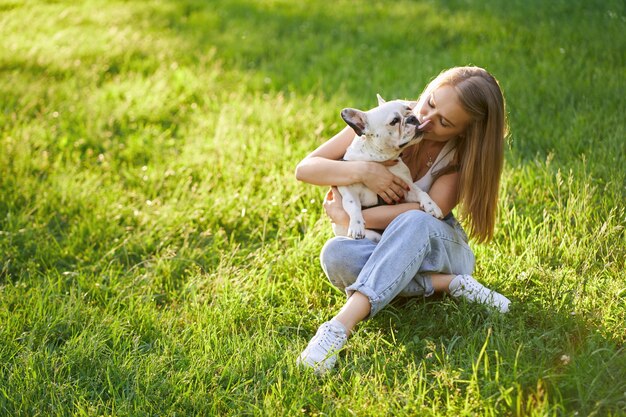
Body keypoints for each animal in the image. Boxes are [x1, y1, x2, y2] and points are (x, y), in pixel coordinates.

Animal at [334, 94, 442, 242]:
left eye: (409, 109)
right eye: (394, 121)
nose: (412, 118)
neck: (378, 161)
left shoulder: (406, 189)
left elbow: (421, 193)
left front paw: (432, 206)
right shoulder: (349, 190)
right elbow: (353, 205)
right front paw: (356, 225)